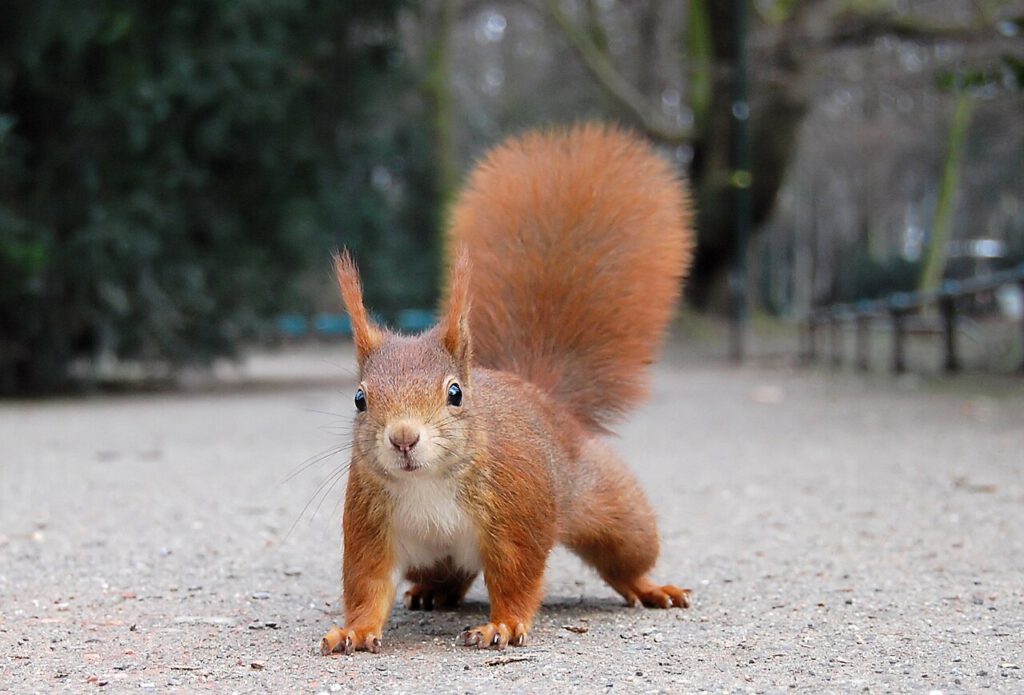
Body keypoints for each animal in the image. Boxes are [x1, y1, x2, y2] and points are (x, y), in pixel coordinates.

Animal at [319, 122, 696, 655]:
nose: (404, 438)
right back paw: (432, 592)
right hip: (432, 556)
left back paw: (650, 587)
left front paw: (503, 624)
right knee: (451, 574)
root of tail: (543, 396)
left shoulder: (517, 514)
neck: (426, 483)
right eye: (359, 399)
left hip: (613, 509)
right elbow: (367, 585)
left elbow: (516, 576)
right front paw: (354, 630)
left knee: (626, 557)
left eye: (456, 393)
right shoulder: (371, 525)